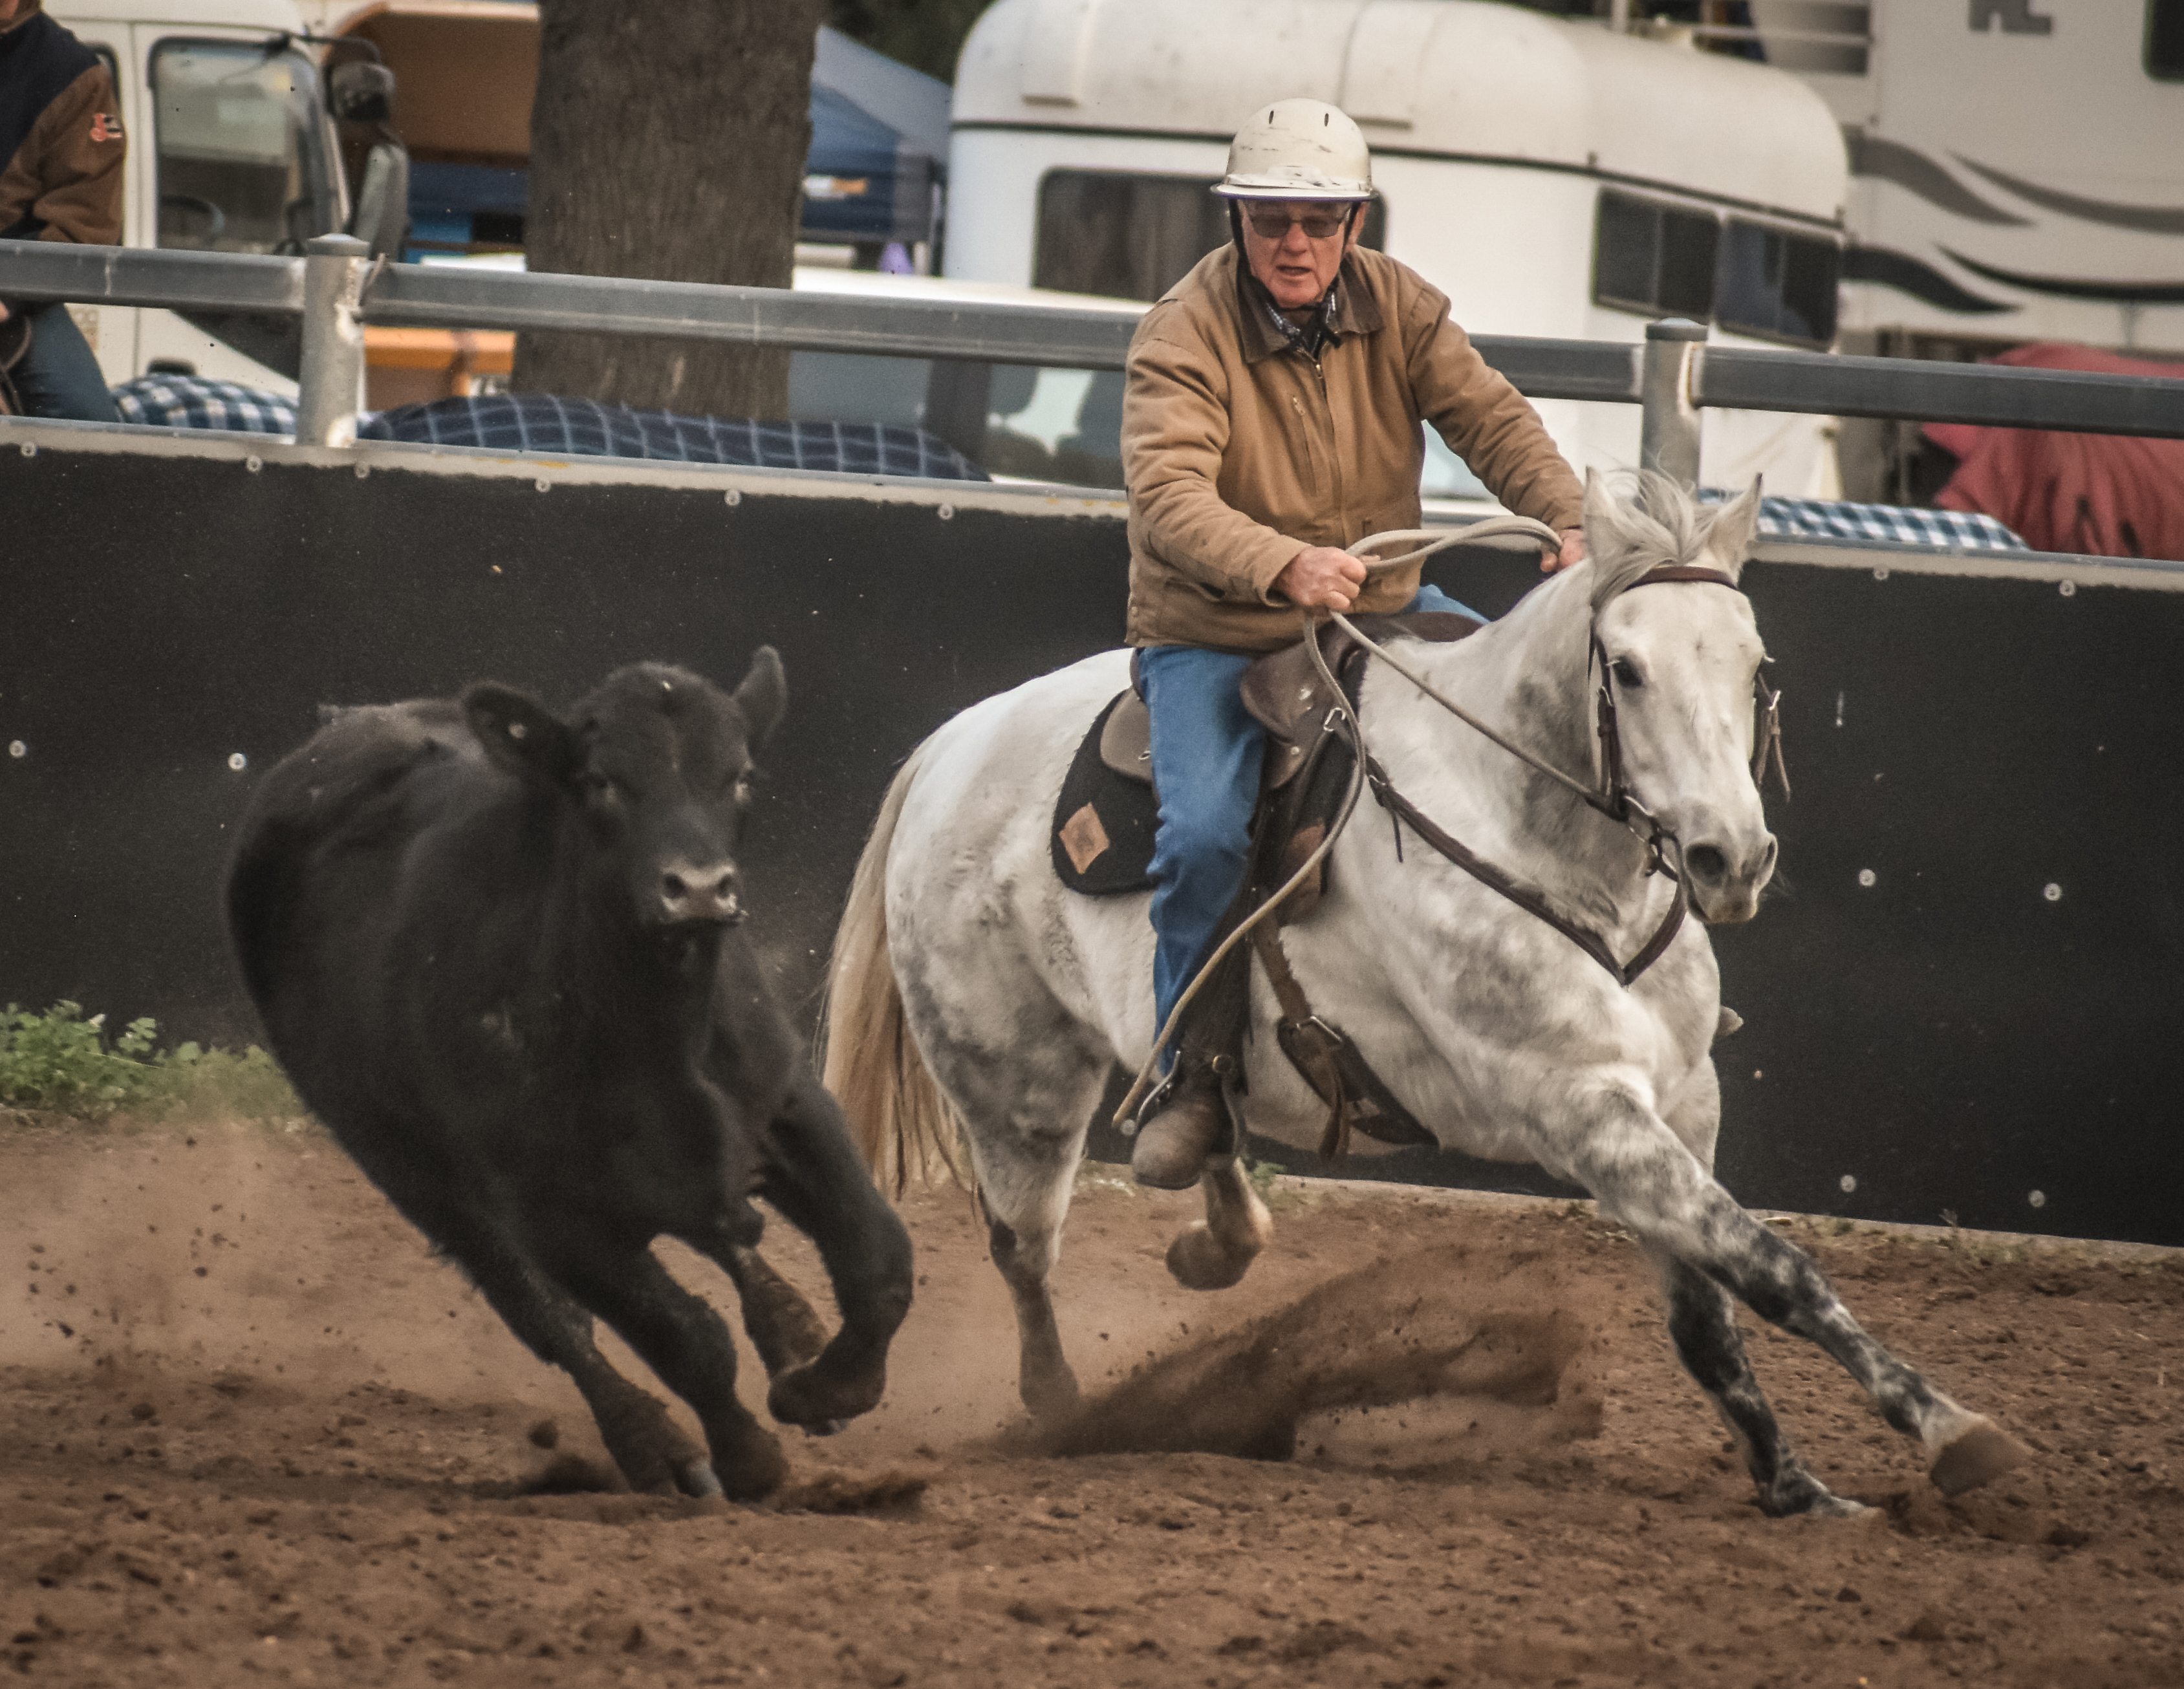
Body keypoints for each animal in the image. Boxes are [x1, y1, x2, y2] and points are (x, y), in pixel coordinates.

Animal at [225, 653, 910, 1500]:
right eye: (600, 779)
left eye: (741, 775)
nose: (699, 887)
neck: (651, 1033)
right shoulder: (551, 1213)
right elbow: (682, 1336)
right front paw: (745, 1455)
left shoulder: (787, 1104)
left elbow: (879, 1257)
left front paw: (826, 1384)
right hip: (414, 1173)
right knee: (546, 1314)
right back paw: (651, 1444)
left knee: (723, 1239)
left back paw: (792, 1330)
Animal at [821, 473, 2027, 1518]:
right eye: (1627, 669)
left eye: (1753, 663)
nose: (1730, 857)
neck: (1549, 845)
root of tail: (950, 745)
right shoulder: (1583, 1110)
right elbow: (1774, 1267)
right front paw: (1949, 1430)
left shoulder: (1683, 1104)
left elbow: (1710, 1315)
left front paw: (1796, 1487)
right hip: (1014, 1085)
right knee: (1025, 1250)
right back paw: (1062, 1412)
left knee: (1199, 1114)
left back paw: (1215, 1225)